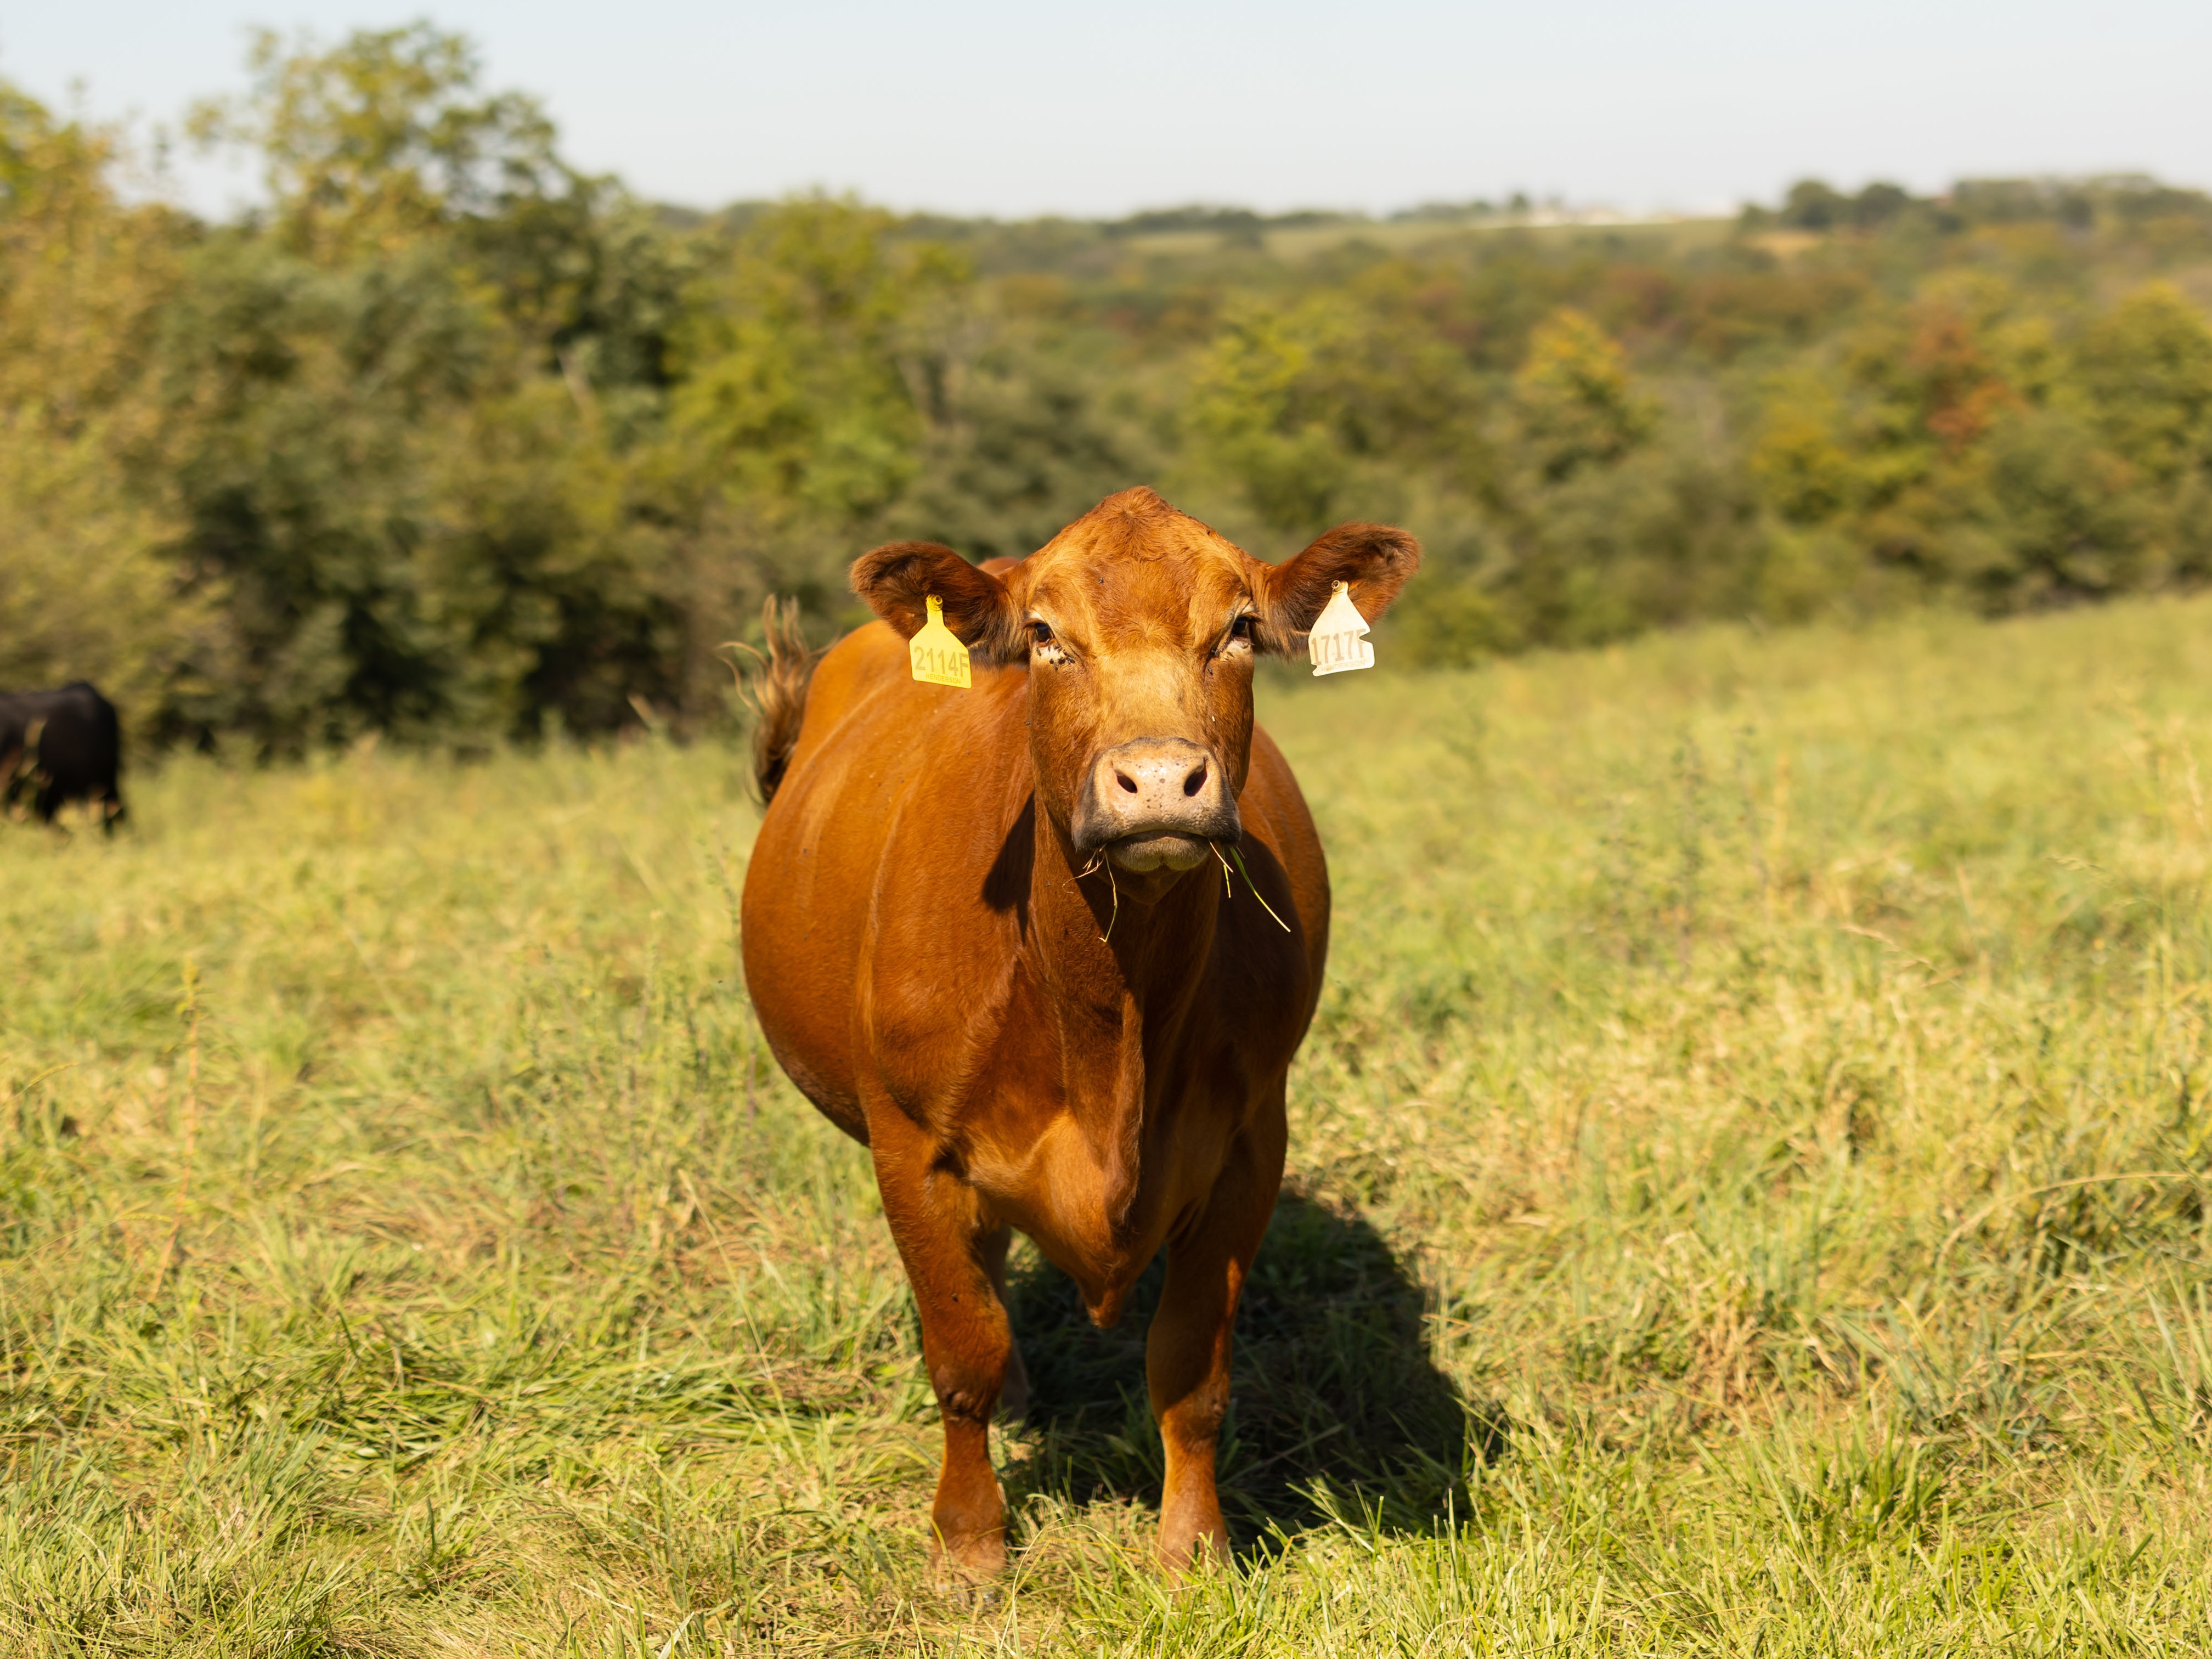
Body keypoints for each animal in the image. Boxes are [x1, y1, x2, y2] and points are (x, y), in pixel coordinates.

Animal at [743, 487, 1415, 1575]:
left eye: (1238, 629)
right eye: (1047, 638)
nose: (1159, 781)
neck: (1109, 1010)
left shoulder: (1248, 1147)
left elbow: (1190, 1370)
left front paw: (1193, 1550)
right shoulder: (909, 1147)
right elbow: (962, 1350)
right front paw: (968, 1544)